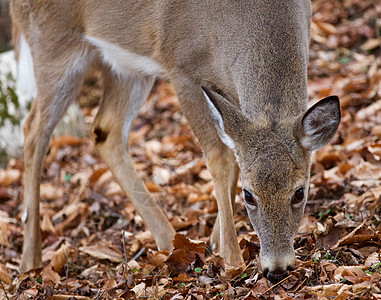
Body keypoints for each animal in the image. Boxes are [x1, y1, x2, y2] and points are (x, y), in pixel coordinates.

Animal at [10, 0, 340, 282]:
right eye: (249, 196)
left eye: (300, 192)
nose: (277, 269)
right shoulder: (181, 67)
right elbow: (218, 158)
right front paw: (231, 259)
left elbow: (233, 155)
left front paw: (214, 243)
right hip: (53, 44)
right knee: (33, 129)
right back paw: (30, 262)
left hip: (125, 65)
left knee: (105, 129)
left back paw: (170, 242)